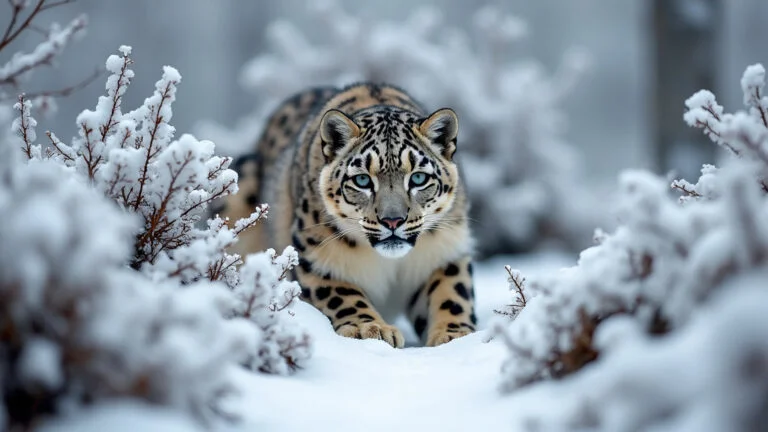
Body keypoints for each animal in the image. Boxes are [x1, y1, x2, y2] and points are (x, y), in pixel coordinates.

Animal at [219, 83, 476, 348]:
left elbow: (451, 292)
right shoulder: (316, 256)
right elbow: (343, 295)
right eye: (362, 180)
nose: (392, 220)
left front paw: (455, 335)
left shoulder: (444, 251)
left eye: (418, 178)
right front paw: (370, 329)